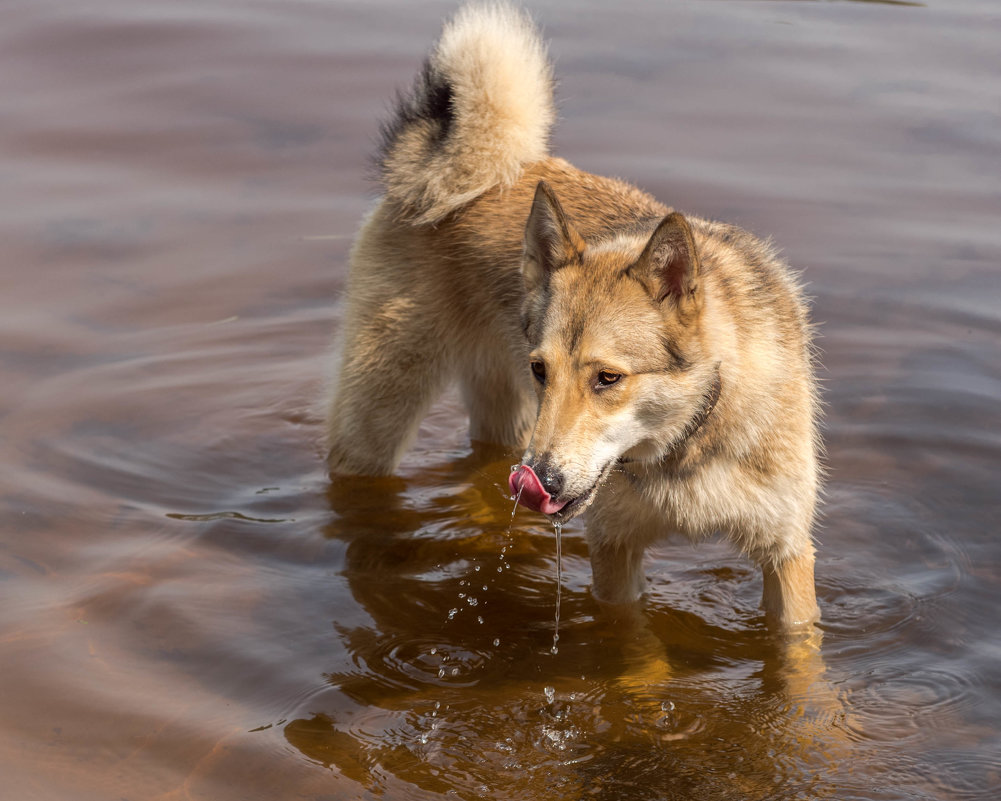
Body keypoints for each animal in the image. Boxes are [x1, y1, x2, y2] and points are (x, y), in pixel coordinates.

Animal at [328, 3, 820, 628]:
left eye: (608, 378)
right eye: (542, 370)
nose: (538, 480)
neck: (684, 447)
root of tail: (469, 173)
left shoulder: (786, 554)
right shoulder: (614, 552)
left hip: (502, 417)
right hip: (380, 419)